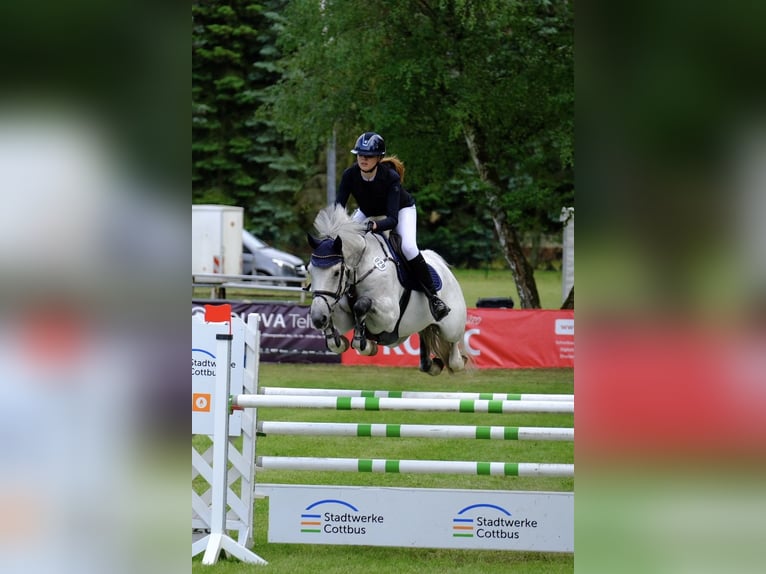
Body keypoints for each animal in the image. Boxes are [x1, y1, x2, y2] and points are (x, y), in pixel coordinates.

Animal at [306, 205, 468, 375]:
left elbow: (362, 305)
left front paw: (365, 344)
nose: (317, 318)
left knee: (455, 354)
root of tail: (444, 267)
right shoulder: (344, 317)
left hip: (452, 327)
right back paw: (433, 365)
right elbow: (337, 329)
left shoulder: (389, 317)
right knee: (426, 346)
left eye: (336, 272)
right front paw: (336, 336)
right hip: (412, 330)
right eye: (309, 270)